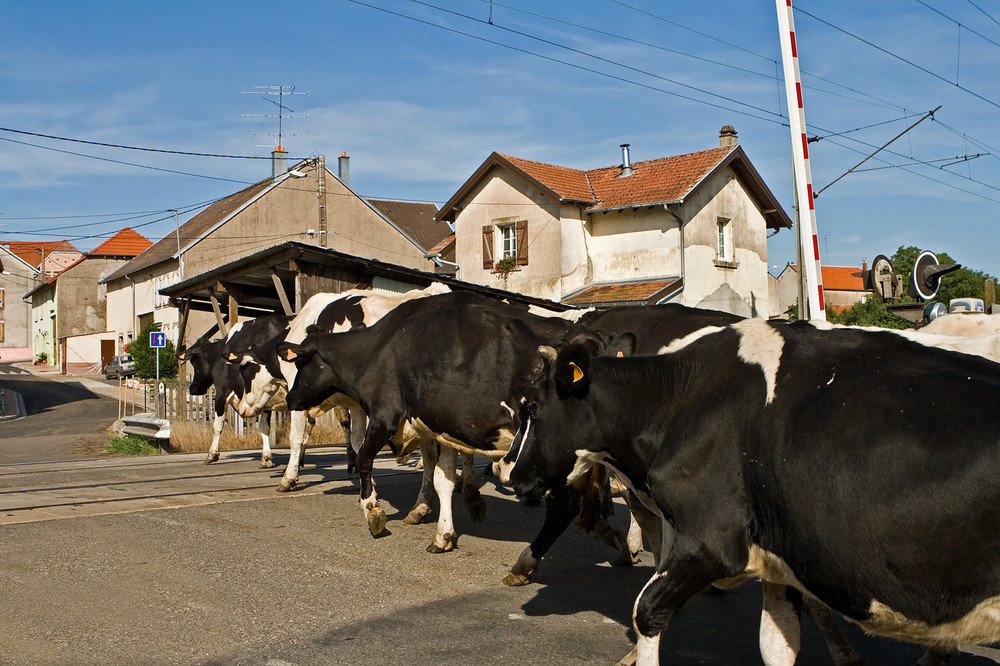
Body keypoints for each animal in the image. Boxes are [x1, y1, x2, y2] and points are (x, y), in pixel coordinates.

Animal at [177, 312, 290, 464]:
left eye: (194, 362)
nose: (193, 388)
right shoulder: (264, 397)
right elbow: (264, 427)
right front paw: (266, 458)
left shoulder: (222, 391)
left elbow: (217, 426)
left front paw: (212, 454)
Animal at [282, 290, 580, 548]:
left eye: (301, 363)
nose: (289, 398)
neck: (377, 348)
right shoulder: (444, 428)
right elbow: (442, 479)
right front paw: (443, 534)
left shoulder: (385, 415)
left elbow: (365, 459)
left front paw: (372, 512)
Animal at [512, 318, 1000, 664]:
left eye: (531, 407)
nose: (510, 475)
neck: (677, 402)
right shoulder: (778, 560)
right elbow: (777, 645)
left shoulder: (712, 541)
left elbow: (646, 611)